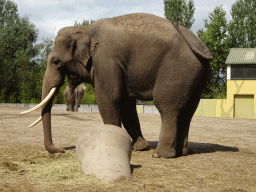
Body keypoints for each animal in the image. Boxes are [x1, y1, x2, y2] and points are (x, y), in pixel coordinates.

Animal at [22, 12, 212, 158]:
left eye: (56, 61)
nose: (61, 149)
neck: (85, 28)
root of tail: (198, 44)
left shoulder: (105, 60)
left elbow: (109, 98)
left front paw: (112, 145)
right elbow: (126, 104)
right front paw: (139, 147)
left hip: (177, 68)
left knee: (167, 107)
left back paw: (160, 155)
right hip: (197, 72)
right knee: (188, 110)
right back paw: (182, 152)